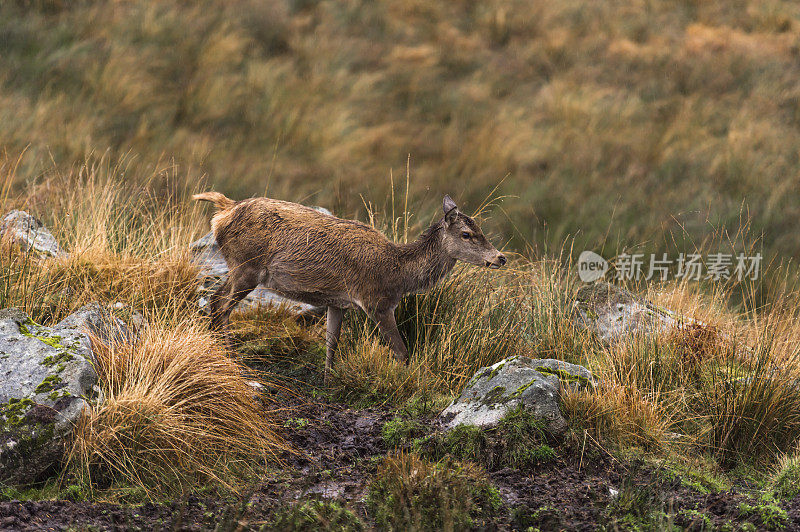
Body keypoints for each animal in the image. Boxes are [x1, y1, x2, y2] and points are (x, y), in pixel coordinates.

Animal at [195, 191, 506, 382]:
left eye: (481, 230)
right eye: (466, 234)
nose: (500, 257)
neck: (398, 274)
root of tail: (223, 212)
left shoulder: (337, 302)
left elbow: (332, 344)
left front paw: (326, 380)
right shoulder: (376, 303)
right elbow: (402, 351)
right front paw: (403, 382)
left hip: (240, 268)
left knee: (216, 303)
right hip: (246, 266)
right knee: (219, 305)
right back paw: (231, 358)